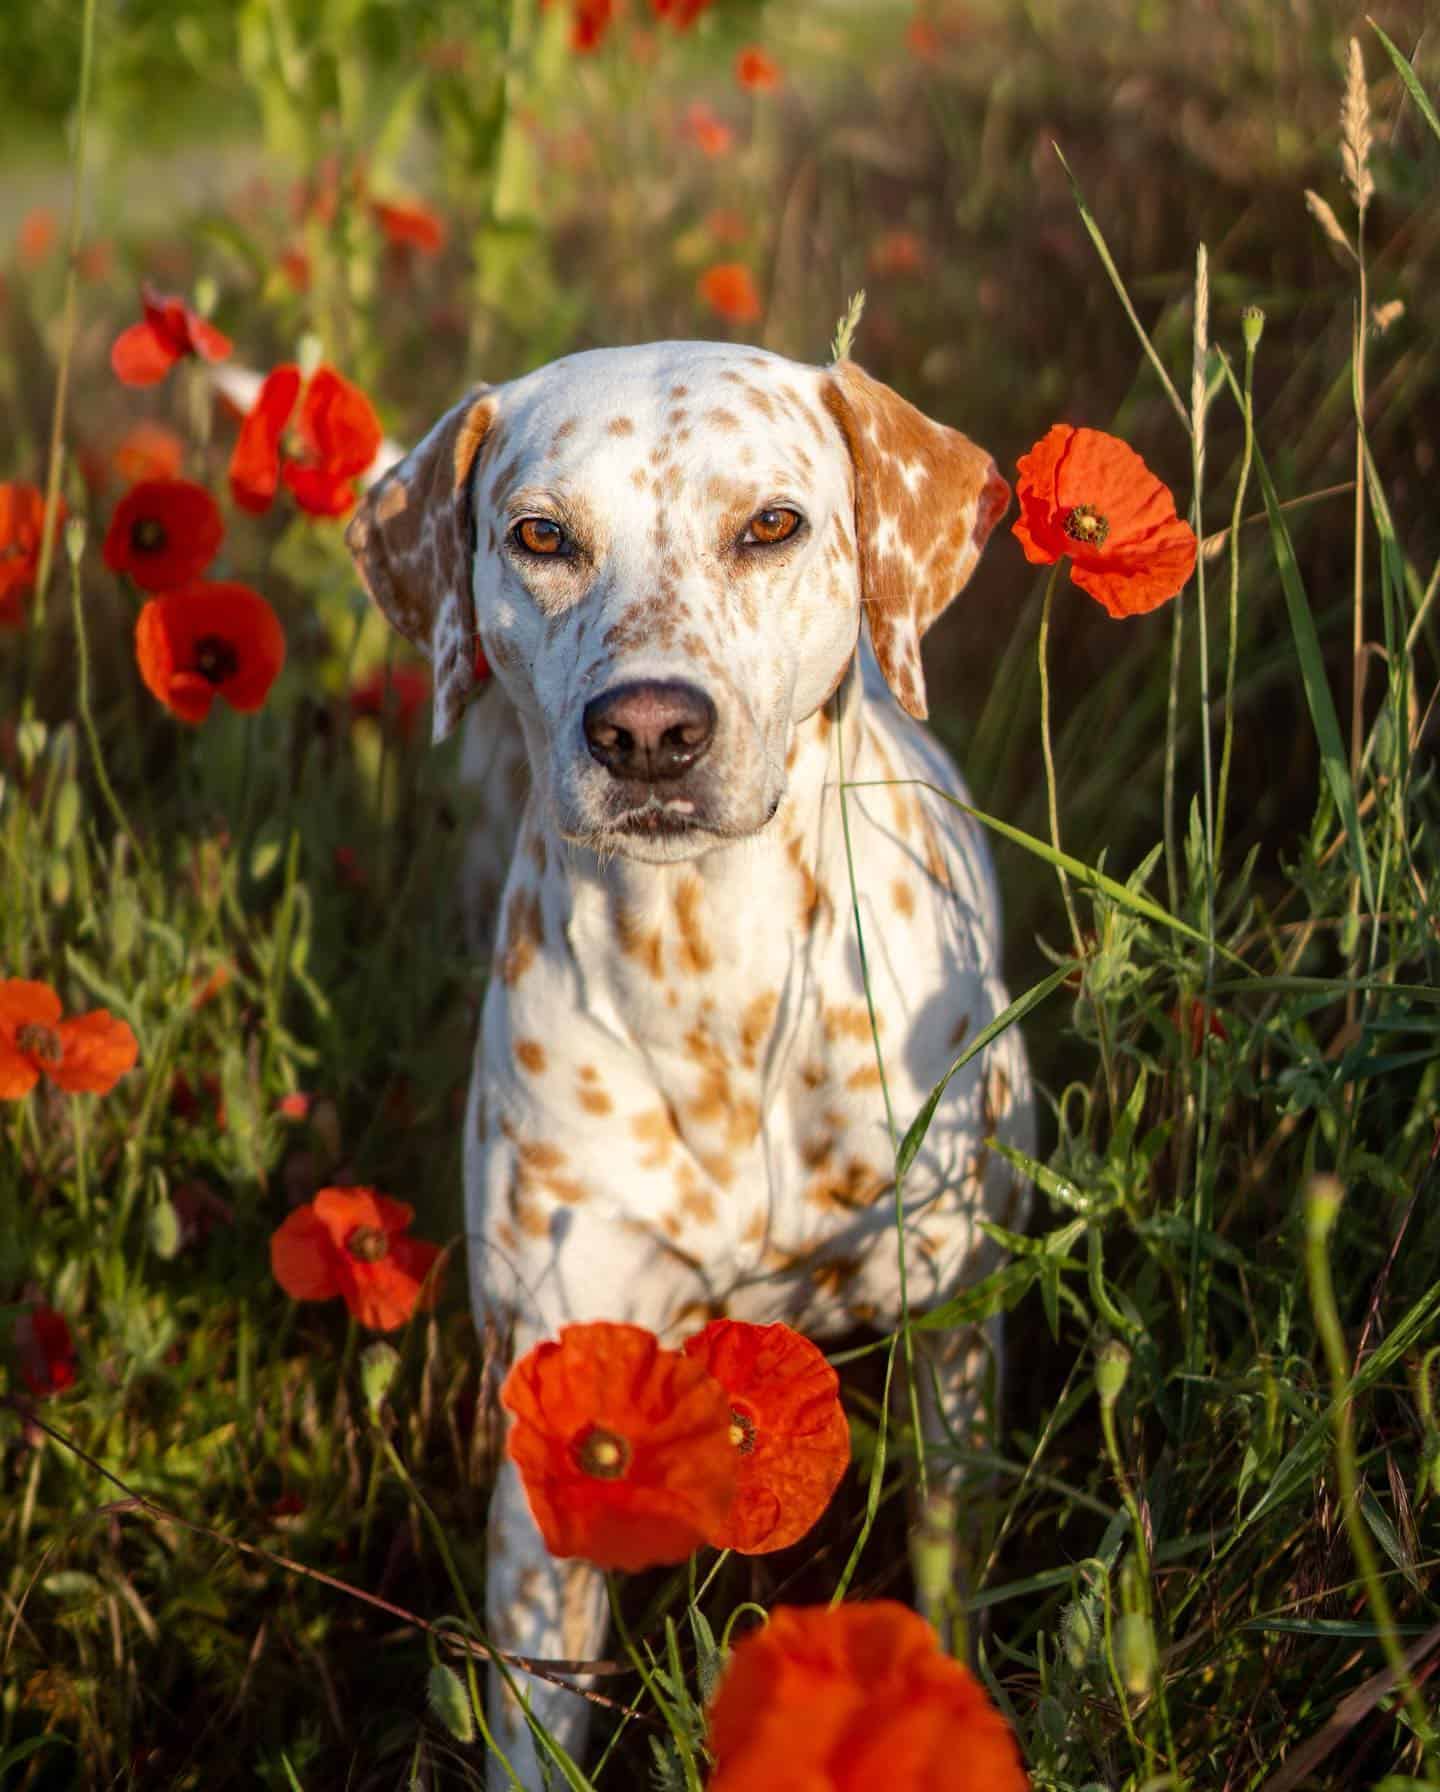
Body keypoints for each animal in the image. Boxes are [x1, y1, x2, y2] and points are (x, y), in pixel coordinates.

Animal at [343, 342, 1031, 1784]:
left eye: (770, 524)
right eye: (541, 536)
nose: (649, 730)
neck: (708, 968)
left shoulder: (949, 1327)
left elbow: (953, 1550)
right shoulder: (558, 1410)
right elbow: (536, 1711)